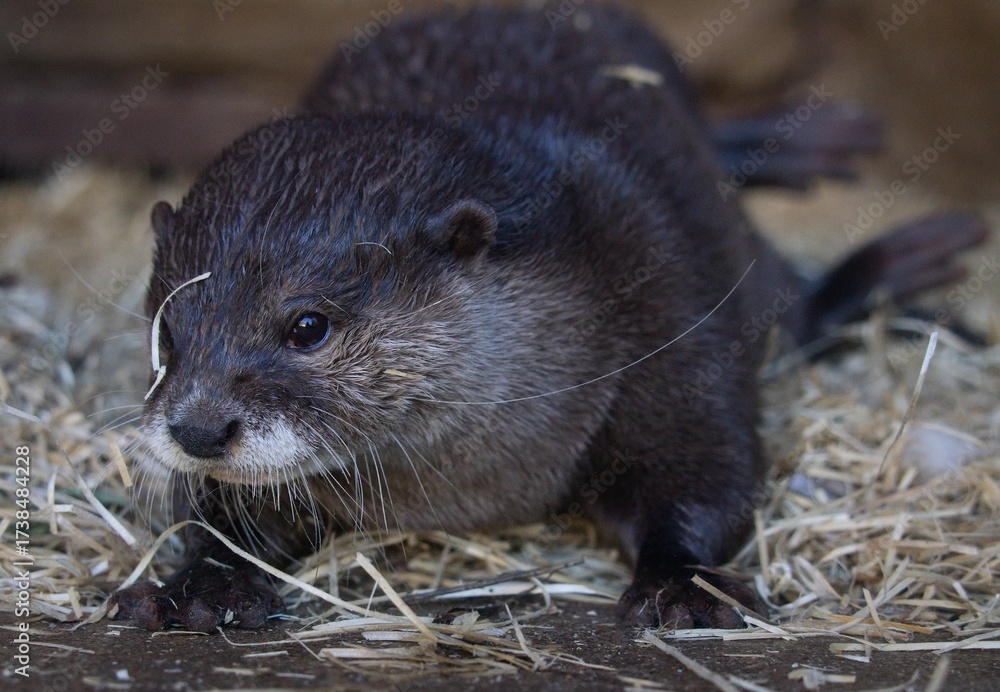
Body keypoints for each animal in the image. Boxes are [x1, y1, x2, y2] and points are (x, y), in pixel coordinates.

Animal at [110, 5, 985, 632]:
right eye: (166, 332)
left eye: (306, 326)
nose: (198, 429)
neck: (467, 487)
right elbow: (222, 518)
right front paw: (201, 584)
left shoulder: (663, 306)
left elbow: (708, 473)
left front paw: (681, 587)